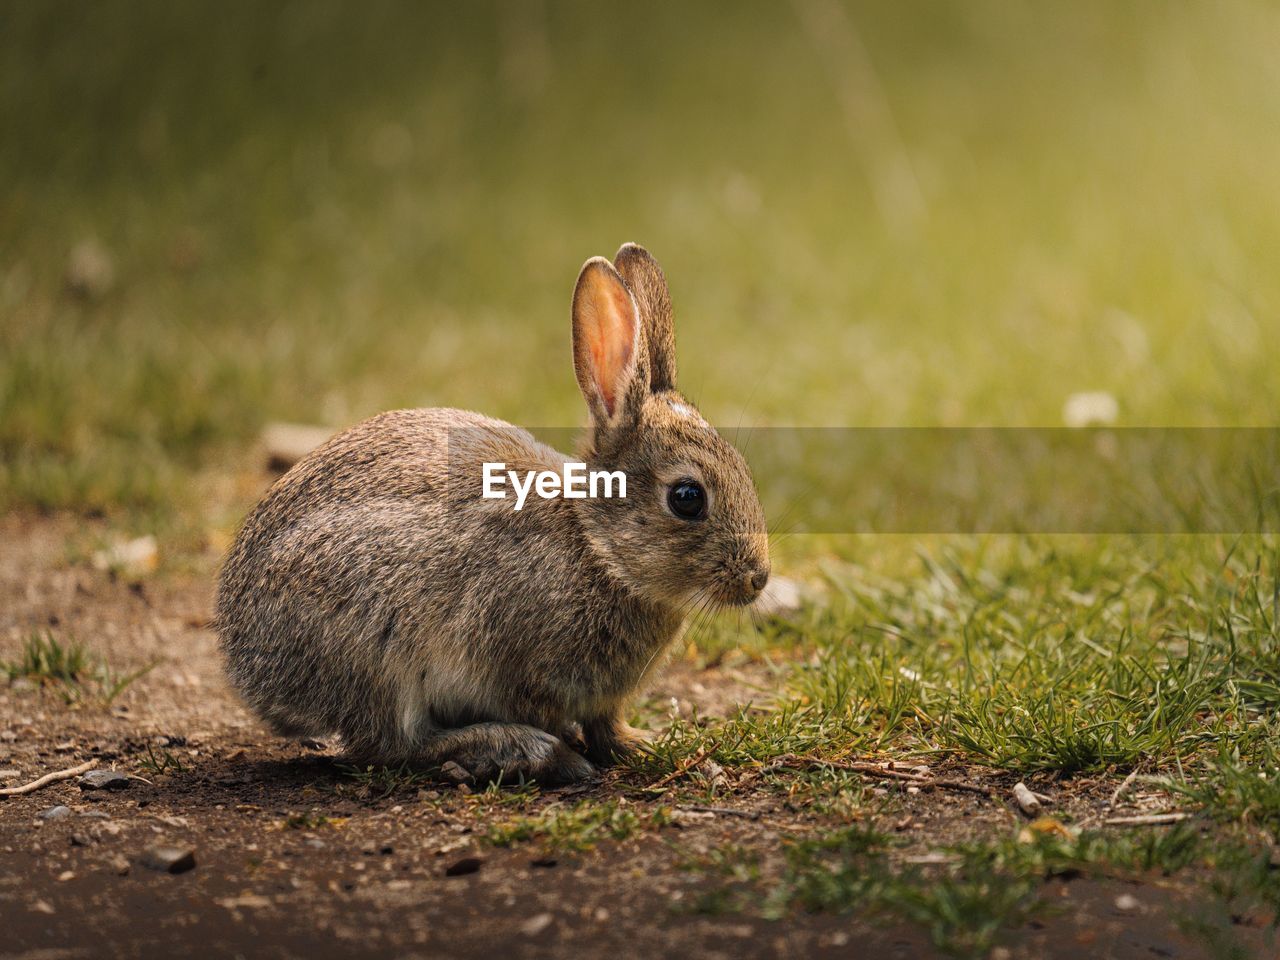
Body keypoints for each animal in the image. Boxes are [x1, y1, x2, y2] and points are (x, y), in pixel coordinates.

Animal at [216, 244, 768, 783]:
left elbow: (606, 725)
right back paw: (527, 751)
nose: (758, 577)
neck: (598, 547)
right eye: (687, 498)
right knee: (392, 745)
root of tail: (243, 659)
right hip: (376, 647)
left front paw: (643, 745)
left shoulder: (599, 700)